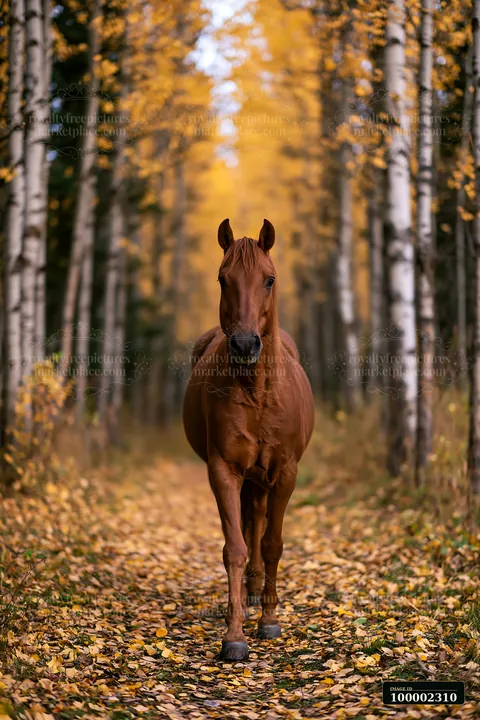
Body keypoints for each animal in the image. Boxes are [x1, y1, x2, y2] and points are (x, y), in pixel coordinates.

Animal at [183, 219, 315, 661]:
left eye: (269, 279)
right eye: (223, 279)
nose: (244, 344)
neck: (257, 392)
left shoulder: (286, 473)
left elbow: (272, 543)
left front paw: (270, 620)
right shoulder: (223, 470)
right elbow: (235, 547)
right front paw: (234, 635)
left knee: (257, 520)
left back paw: (257, 592)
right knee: (248, 520)